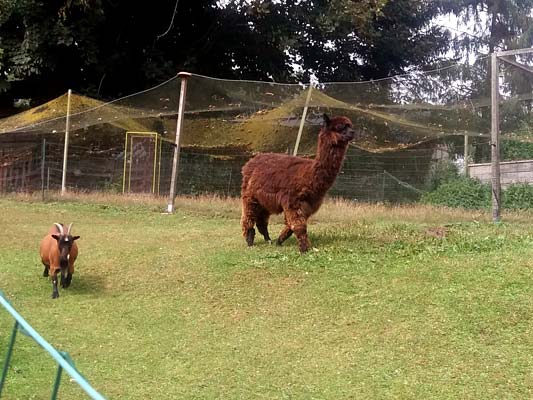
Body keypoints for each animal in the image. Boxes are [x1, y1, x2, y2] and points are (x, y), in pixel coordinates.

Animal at [241, 114, 358, 252]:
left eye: (350, 125)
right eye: (340, 127)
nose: (353, 132)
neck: (309, 176)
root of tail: (250, 161)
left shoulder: (308, 205)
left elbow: (291, 226)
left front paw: (279, 241)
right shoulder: (292, 200)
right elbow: (299, 226)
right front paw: (304, 249)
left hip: (264, 200)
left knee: (262, 220)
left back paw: (268, 239)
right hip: (250, 195)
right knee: (248, 216)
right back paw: (249, 240)